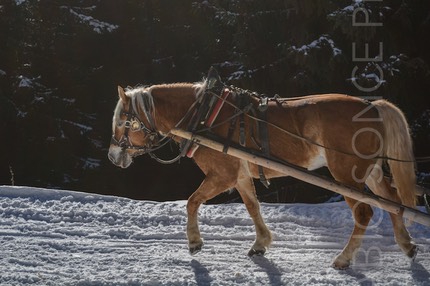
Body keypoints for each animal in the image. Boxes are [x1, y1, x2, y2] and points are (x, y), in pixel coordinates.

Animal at [107, 69, 416, 268]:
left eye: (123, 121)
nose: (112, 156)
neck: (204, 116)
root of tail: (372, 105)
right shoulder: (241, 175)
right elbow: (252, 206)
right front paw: (261, 243)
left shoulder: (223, 175)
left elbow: (192, 202)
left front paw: (194, 242)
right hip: (371, 172)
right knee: (393, 202)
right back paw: (407, 245)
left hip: (346, 175)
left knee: (365, 212)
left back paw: (343, 258)